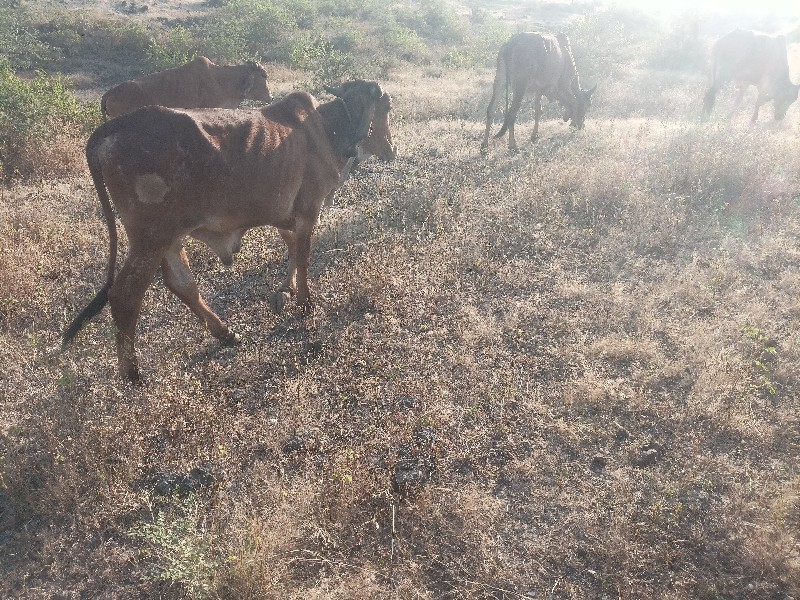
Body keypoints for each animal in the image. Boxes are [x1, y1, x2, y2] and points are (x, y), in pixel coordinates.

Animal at [64, 79, 396, 380]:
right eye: (387, 107)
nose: (393, 149)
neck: (328, 129)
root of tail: (115, 126)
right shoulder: (308, 209)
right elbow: (302, 257)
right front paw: (305, 302)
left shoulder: (284, 215)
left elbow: (290, 251)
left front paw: (285, 290)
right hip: (150, 239)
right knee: (124, 295)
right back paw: (132, 373)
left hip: (168, 238)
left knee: (182, 284)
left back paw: (224, 333)